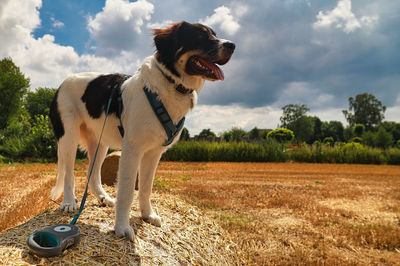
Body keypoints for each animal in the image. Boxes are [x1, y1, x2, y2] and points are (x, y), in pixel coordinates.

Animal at [49, 21, 234, 241]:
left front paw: (148, 215)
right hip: (68, 137)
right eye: (200, 35)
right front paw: (122, 228)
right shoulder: (132, 149)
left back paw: (104, 198)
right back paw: (69, 202)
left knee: (91, 174)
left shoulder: (153, 152)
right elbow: (127, 191)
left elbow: (145, 188)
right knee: (69, 174)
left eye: (214, 34)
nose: (232, 45)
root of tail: (61, 84)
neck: (171, 84)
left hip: (100, 143)